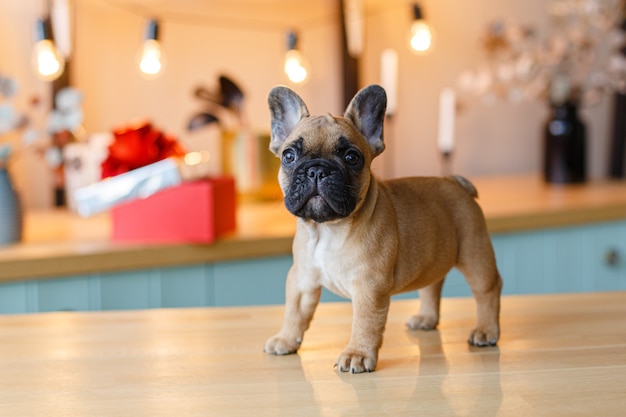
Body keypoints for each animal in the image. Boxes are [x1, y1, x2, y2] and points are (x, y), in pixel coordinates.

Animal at [260, 83, 500, 372]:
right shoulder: (302, 278)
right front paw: (285, 339)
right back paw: (426, 318)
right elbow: (294, 311)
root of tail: (455, 182)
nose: (317, 170)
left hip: (475, 253)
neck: (328, 229)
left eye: (352, 157)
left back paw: (486, 331)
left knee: (488, 289)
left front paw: (357, 354)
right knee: (432, 285)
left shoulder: (369, 287)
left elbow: (365, 322)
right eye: (289, 156)